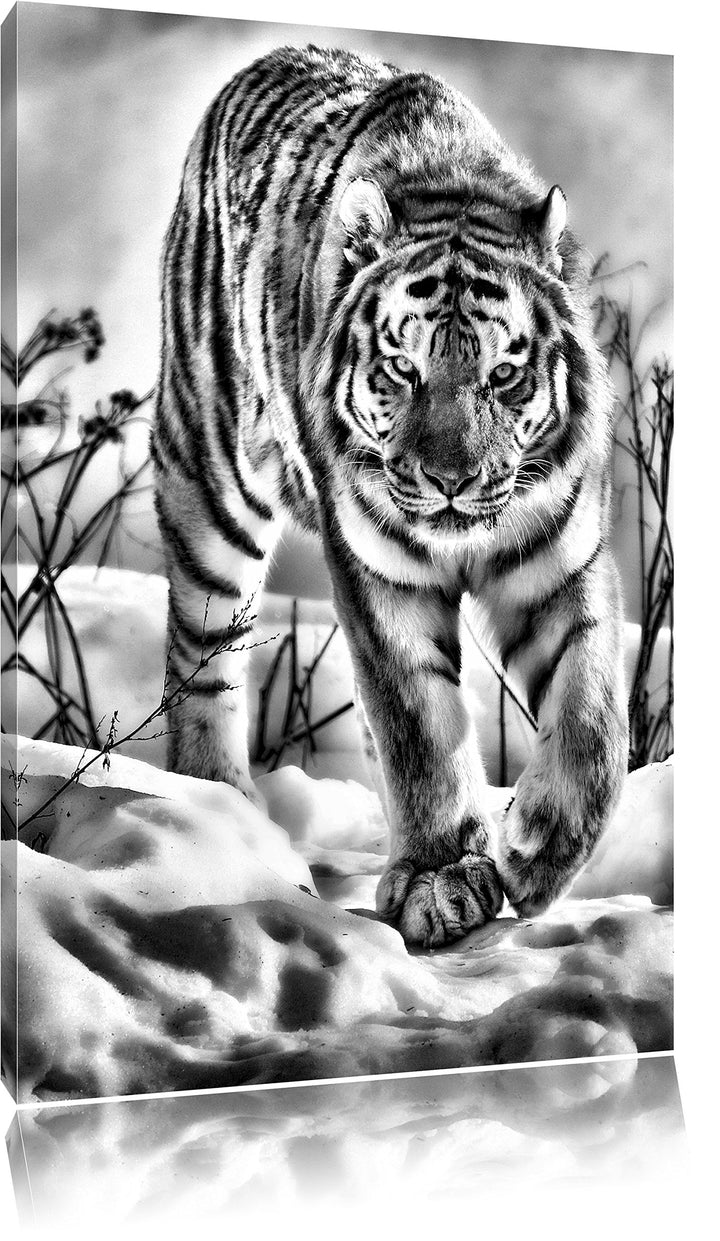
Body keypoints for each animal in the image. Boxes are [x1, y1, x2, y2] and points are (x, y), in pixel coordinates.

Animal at [153, 43, 628, 948]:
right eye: (403, 369)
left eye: (503, 374)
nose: (450, 481)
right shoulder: (380, 575)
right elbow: (418, 725)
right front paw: (443, 877)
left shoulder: (559, 559)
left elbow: (592, 713)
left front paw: (538, 846)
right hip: (209, 484)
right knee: (203, 668)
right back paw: (223, 820)